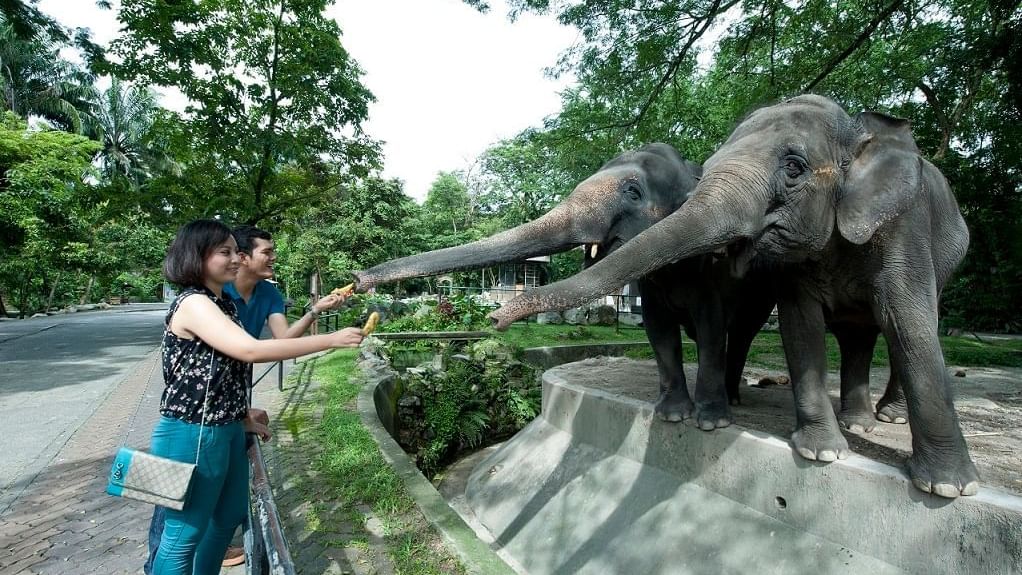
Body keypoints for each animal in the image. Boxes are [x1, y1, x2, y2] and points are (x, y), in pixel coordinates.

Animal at [353, 144, 772, 428]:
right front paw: (671, 416)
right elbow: (658, 331)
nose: (357, 281)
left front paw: (710, 423)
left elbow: (712, 326)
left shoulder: (710, 269)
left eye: (633, 192)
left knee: (739, 334)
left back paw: (733, 400)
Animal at [490, 95, 977, 500]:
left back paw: (882, 419)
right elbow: (667, 332)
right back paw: (840, 418)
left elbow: (907, 325)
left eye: (632, 191)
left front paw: (947, 488)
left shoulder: (901, 230)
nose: (496, 319)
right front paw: (675, 416)